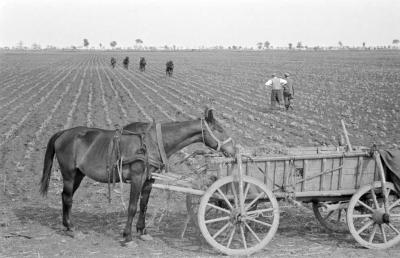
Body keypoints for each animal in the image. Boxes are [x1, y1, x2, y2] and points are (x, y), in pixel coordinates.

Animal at [39, 108, 234, 243]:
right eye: (220, 129)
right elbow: (132, 207)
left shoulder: (149, 179)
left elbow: (143, 205)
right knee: (68, 198)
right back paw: (71, 227)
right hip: (69, 174)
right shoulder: (137, 177)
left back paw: (67, 226)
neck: (153, 141)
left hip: (79, 174)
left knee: (65, 196)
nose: (234, 149)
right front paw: (127, 236)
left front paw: (142, 231)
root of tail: (63, 133)